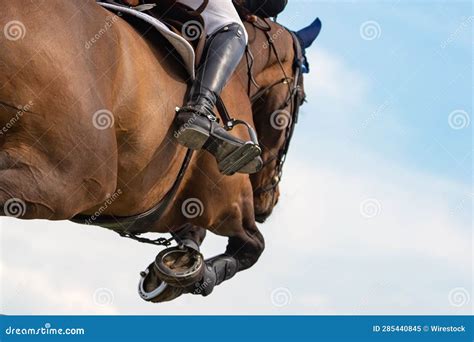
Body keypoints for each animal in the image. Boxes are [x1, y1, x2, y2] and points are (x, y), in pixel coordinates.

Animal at [1, 1, 316, 304]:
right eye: (300, 100)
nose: (270, 201)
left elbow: (196, 235)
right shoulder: (230, 204)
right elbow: (253, 246)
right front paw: (197, 276)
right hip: (66, 181)